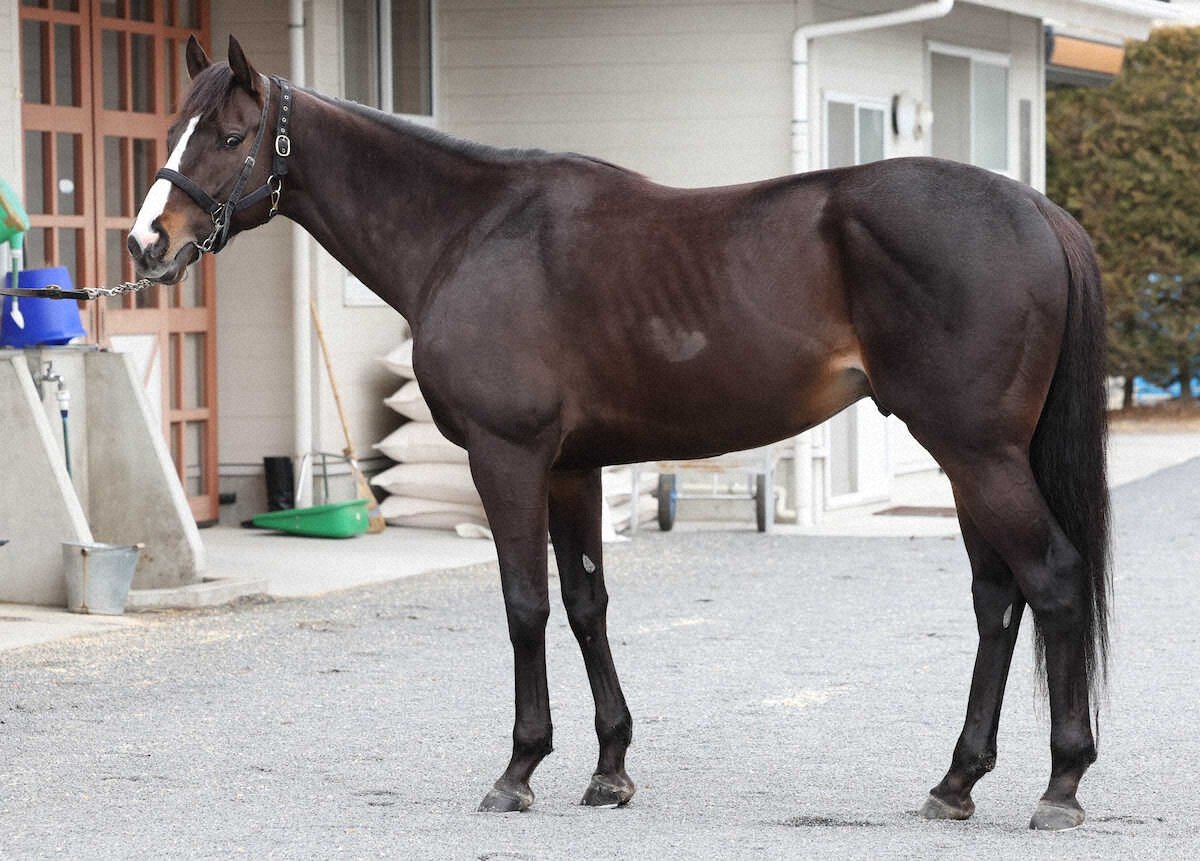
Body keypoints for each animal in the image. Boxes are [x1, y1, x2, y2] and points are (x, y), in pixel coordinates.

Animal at [128, 36, 1110, 831]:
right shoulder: (573, 467)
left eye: (228, 136)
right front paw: (609, 770)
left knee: (1053, 580)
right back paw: (956, 781)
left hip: (977, 455)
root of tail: (1037, 210)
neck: (472, 231)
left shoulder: (508, 456)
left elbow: (525, 604)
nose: (146, 243)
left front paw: (518, 769)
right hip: (970, 459)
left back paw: (1061, 785)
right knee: (998, 598)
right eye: (170, 127)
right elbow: (586, 603)